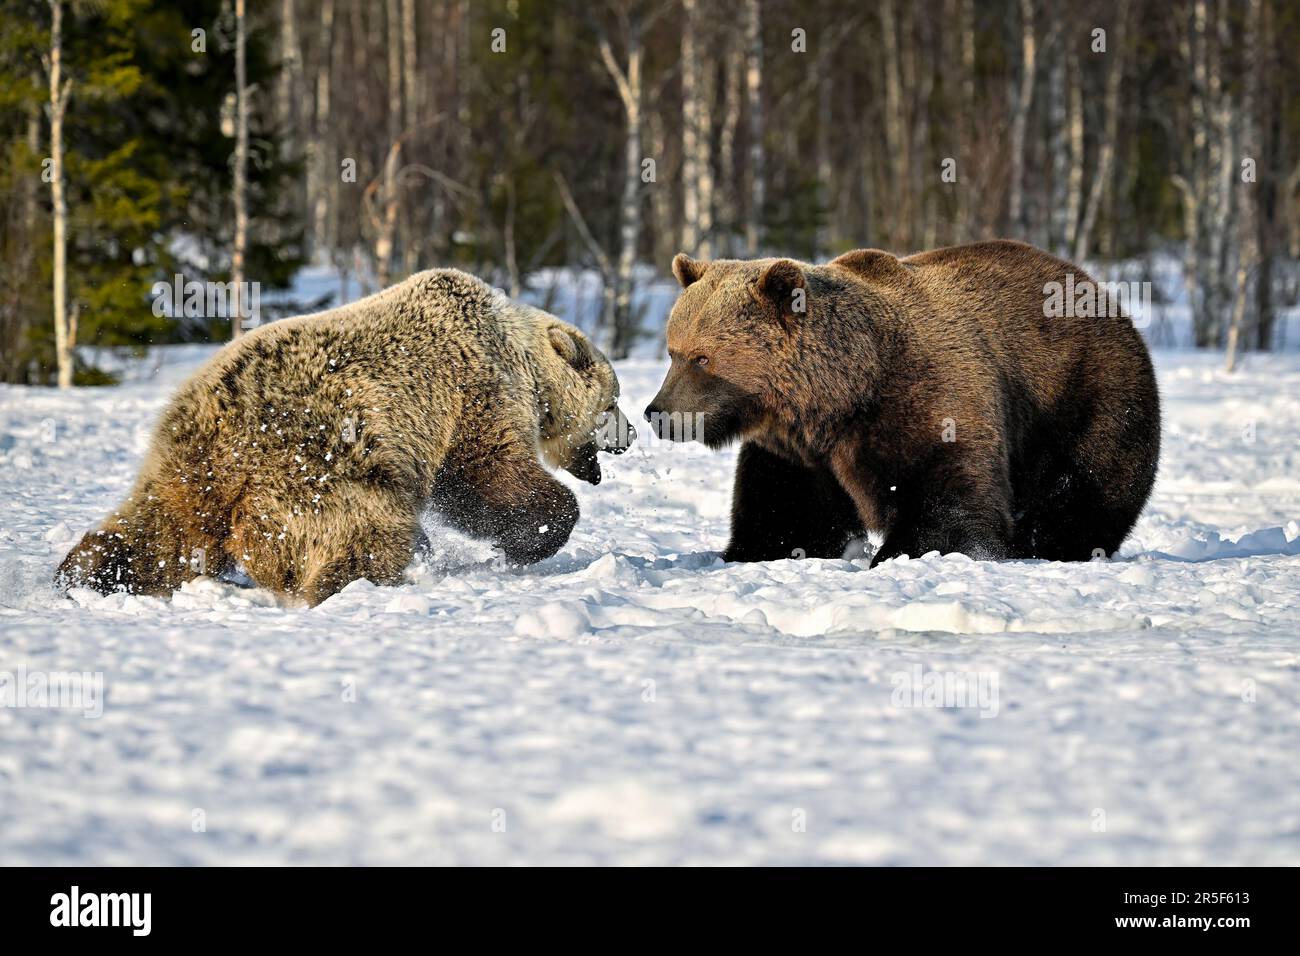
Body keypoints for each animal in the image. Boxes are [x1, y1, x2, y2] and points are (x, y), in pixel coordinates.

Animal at [57, 269, 635, 606]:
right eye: (613, 400)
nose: (630, 434)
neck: (524, 361)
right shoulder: (470, 390)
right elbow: (487, 474)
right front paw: (536, 535)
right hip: (322, 458)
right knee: (359, 524)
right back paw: (371, 573)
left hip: (187, 468)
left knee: (159, 530)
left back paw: (83, 572)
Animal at [644, 240, 1161, 566]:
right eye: (673, 351)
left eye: (702, 357)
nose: (659, 413)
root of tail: (1103, 294)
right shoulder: (798, 452)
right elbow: (787, 510)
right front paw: (753, 551)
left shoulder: (925, 402)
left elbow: (947, 499)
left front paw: (903, 553)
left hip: (1083, 395)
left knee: (1084, 486)